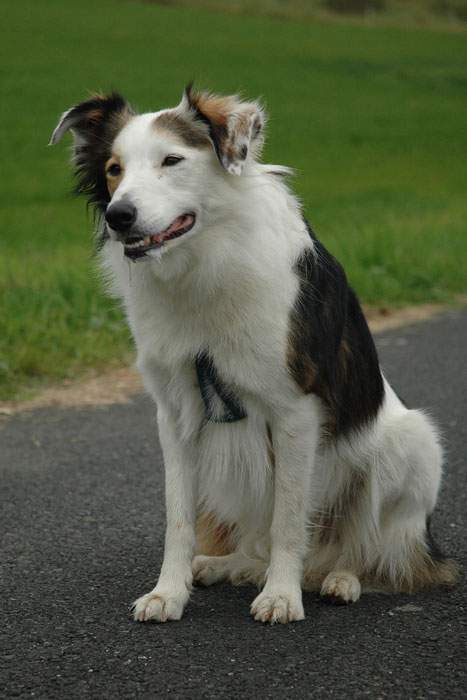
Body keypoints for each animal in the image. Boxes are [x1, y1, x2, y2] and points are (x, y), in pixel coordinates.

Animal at [50, 83, 458, 624]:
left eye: (172, 160)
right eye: (114, 169)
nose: (120, 216)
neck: (204, 264)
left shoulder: (297, 410)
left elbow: (289, 517)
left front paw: (282, 596)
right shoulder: (174, 414)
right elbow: (178, 518)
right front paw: (168, 592)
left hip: (411, 444)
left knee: (376, 550)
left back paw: (340, 578)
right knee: (258, 546)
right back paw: (224, 565)